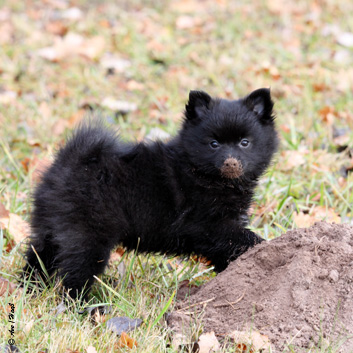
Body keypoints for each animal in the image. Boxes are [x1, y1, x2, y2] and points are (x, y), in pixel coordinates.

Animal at [24, 87, 278, 296]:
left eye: (245, 142)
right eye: (213, 144)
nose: (231, 163)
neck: (203, 176)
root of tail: (71, 162)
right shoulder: (208, 225)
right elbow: (242, 239)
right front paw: (262, 249)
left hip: (51, 226)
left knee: (40, 254)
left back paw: (30, 288)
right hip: (88, 234)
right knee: (75, 274)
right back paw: (83, 308)